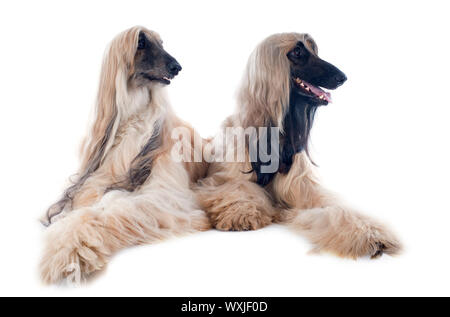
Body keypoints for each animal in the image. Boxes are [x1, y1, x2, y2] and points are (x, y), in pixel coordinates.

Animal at [40, 27, 209, 282]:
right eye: (141, 43)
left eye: (162, 43)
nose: (177, 67)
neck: (132, 119)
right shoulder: (95, 178)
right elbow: (87, 198)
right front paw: (65, 219)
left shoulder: (166, 196)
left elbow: (113, 209)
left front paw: (70, 249)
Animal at [197, 32, 400, 260]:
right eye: (296, 52)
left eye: (314, 50)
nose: (342, 77)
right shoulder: (224, 179)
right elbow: (238, 188)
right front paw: (241, 213)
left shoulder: (304, 189)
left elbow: (334, 209)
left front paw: (370, 233)